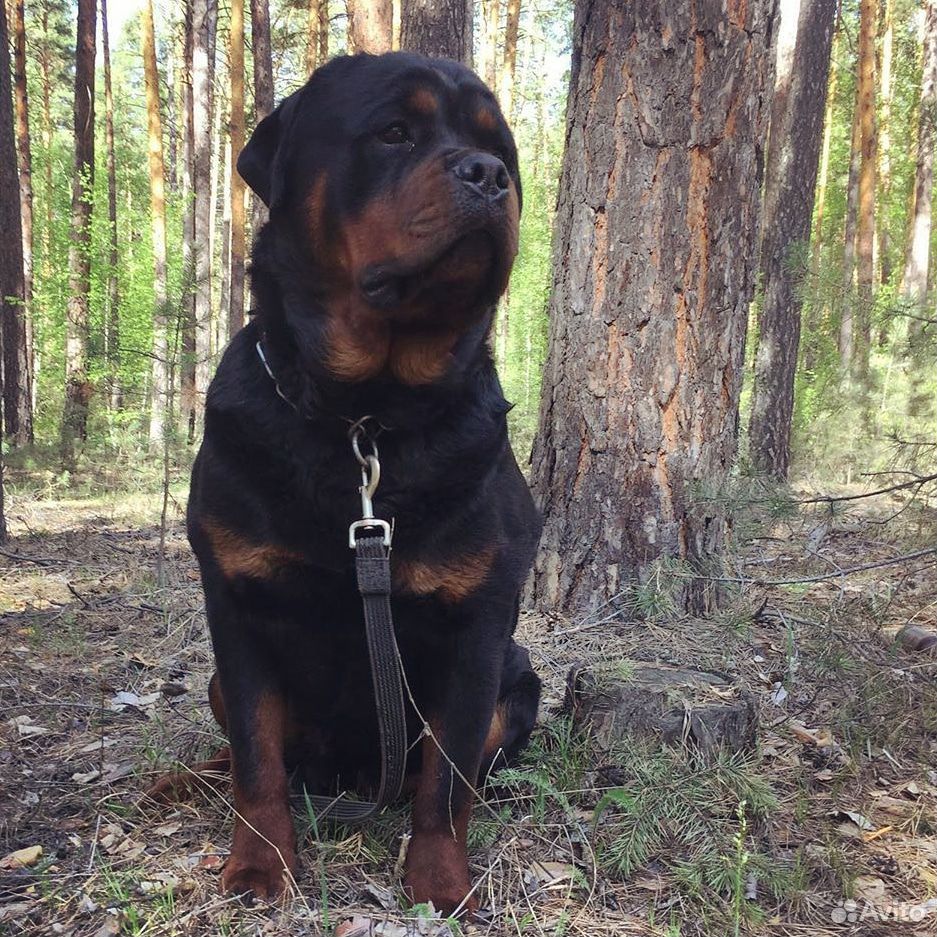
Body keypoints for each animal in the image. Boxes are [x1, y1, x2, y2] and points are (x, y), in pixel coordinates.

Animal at [155, 53, 540, 916]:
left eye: (498, 146)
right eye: (393, 132)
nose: (488, 174)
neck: (364, 418)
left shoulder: (477, 629)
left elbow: (445, 783)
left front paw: (441, 882)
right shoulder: (237, 607)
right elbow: (257, 758)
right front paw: (259, 864)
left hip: (518, 678)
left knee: (462, 765)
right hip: (219, 681)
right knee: (243, 751)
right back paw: (185, 777)